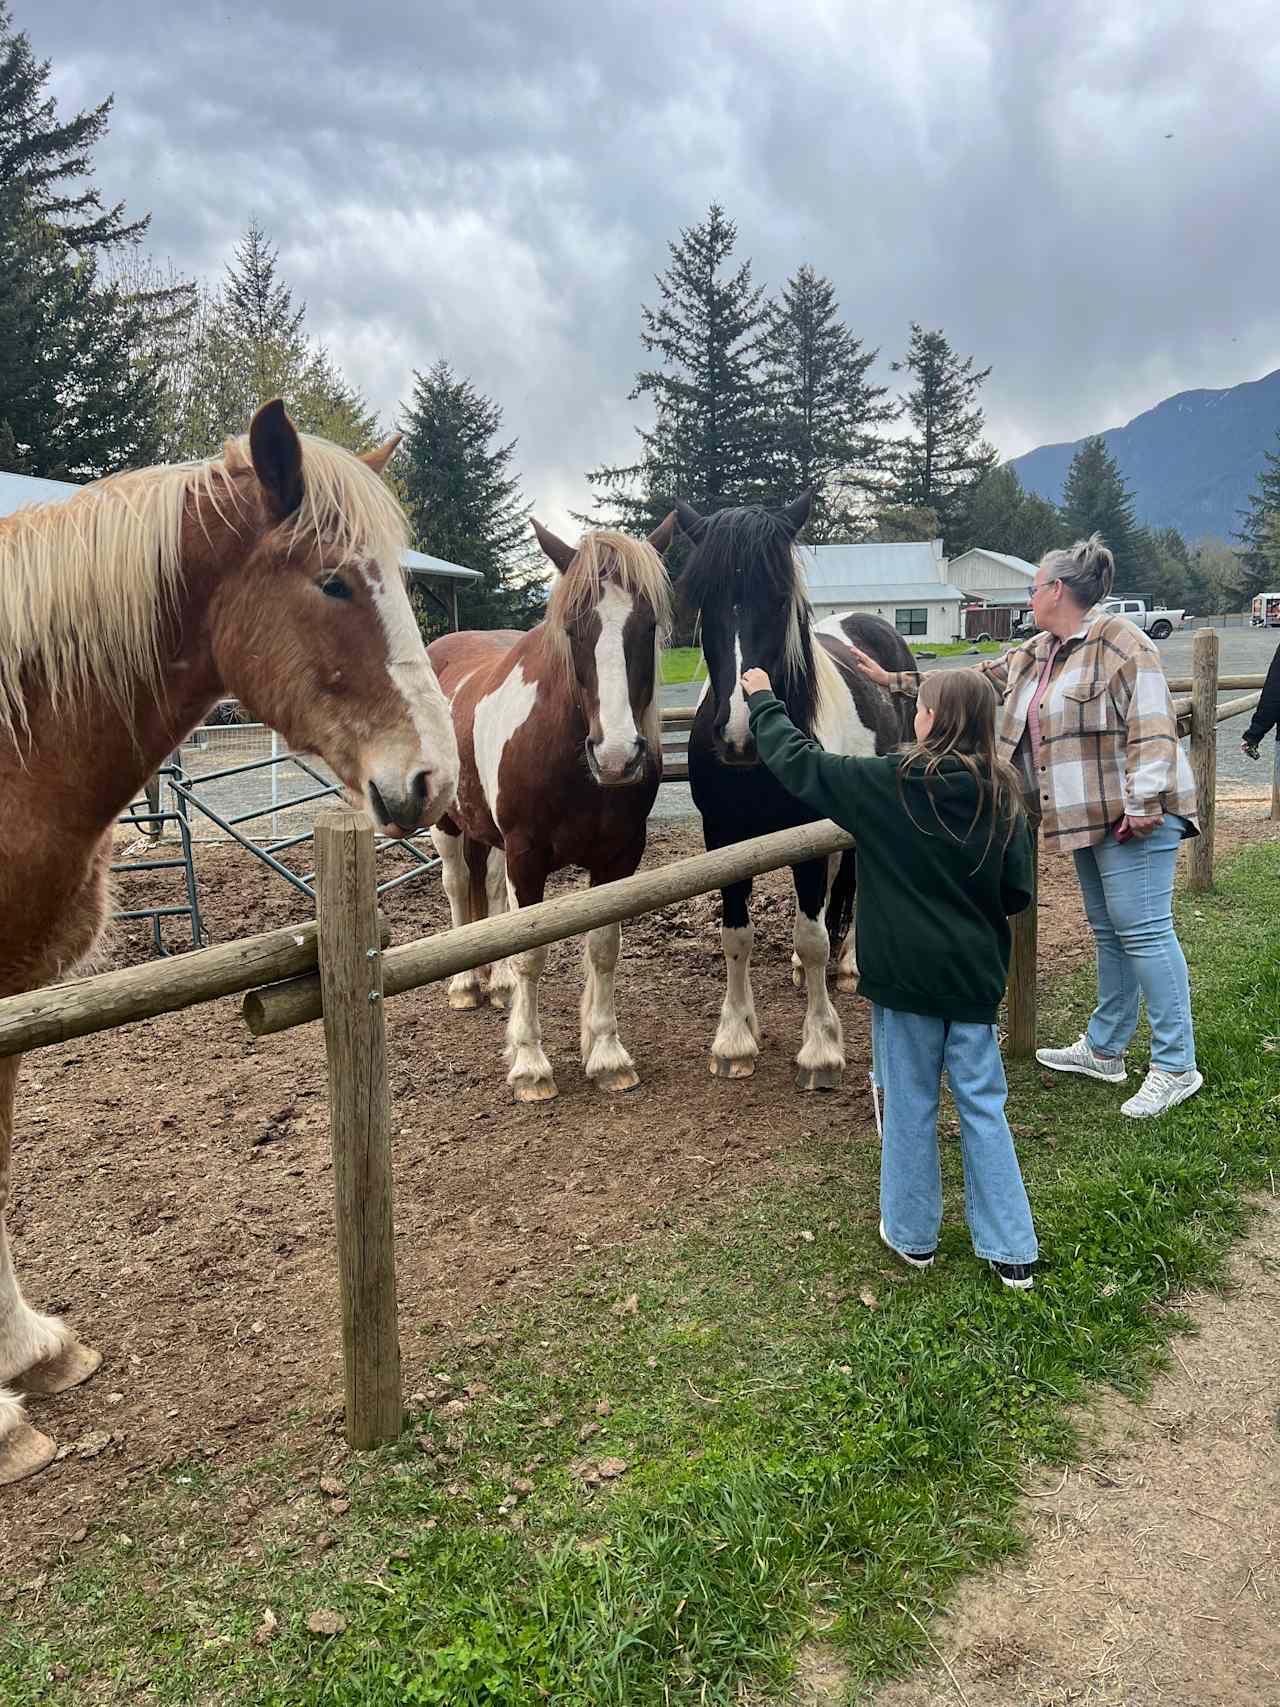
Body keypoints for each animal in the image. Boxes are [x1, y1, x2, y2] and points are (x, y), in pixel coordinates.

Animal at [428, 518, 675, 1099]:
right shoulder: (527, 857)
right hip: (448, 825)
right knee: (457, 886)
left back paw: (496, 984)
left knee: (488, 887)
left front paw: (606, 1055)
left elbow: (603, 947)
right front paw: (529, 1064)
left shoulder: (619, 858)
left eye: (648, 626)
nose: (615, 757)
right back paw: (466, 984)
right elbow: (531, 951)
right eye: (572, 628)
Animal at [675, 495, 914, 1085]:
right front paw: (735, 1037)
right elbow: (736, 936)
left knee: (851, 889)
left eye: (780, 598)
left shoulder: (809, 836)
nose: (738, 735)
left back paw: (849, 965)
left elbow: (812, 938)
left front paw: (821, 1046)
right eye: (705, 599)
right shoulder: (724, 840)